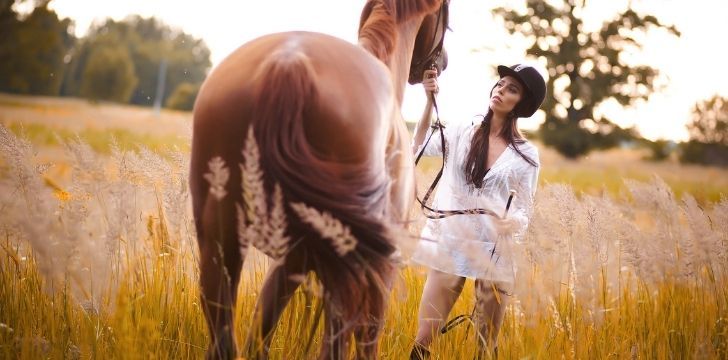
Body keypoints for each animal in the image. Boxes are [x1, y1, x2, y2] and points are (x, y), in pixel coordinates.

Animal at [191, 1, 446, 358]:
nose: (442, 63)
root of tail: (287, 65)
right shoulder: (378, 267)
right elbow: (366, 336)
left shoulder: (291, 259)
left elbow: (261, 328)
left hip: (220, 243)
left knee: (223, 333)